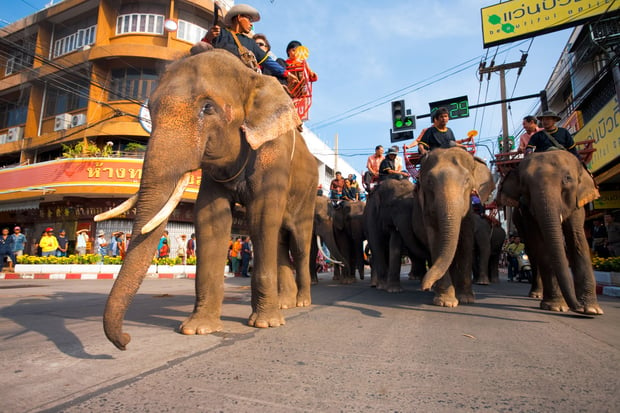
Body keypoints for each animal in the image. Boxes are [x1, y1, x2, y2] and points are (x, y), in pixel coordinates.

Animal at [98, 50, 320, 350]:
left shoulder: (273, 154)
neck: (251, 78)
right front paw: (198, 329)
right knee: (280, 241)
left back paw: (302, 303)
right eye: (151, 109)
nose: (125, 340)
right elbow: (211, 220)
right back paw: (286, 304)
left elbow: (261, 217)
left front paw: (265, 324)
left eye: (208, 108)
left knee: (298, 242)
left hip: (308, 194)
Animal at [414, 147, 496, 306]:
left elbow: (466, 243)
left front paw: (466, 298)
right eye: (429, 181)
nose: (424, 287)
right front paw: (446, 302)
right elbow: (436, 241)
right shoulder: (426, 213)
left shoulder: (469, 215)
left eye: (467, 181)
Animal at [498, 150, 600, 314]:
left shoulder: (577, 202)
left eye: (568, 178)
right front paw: (556, 306)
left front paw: (591, 309)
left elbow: (577, 239)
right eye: (524, 186)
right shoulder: (526, 211)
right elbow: (541, 244)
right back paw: (536, 294)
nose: (577, 307)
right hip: (518, 220)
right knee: (532, 251)